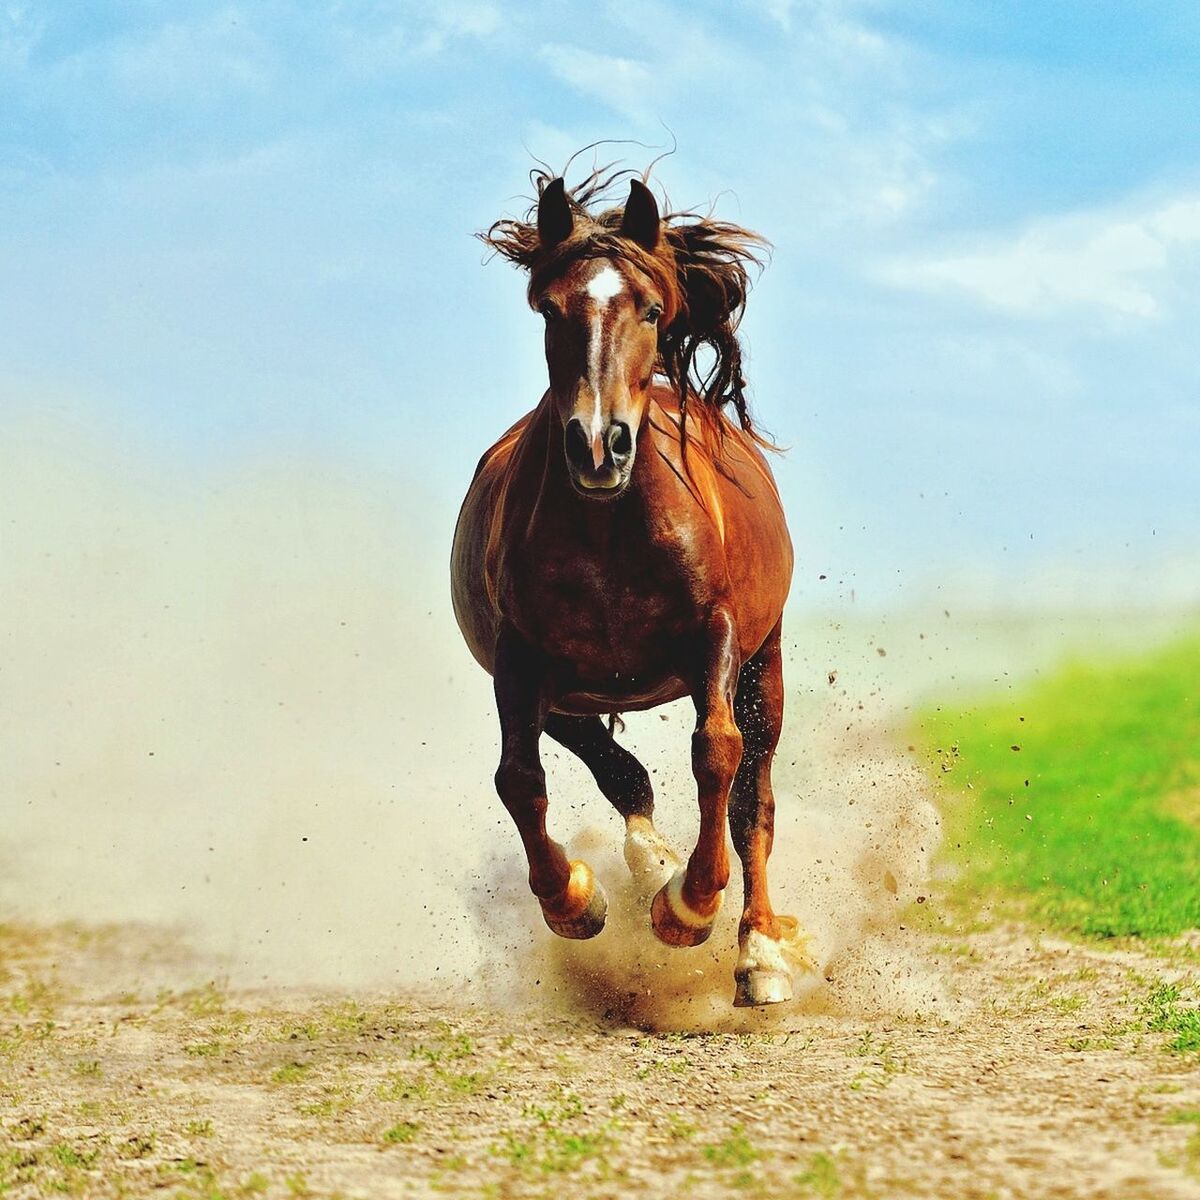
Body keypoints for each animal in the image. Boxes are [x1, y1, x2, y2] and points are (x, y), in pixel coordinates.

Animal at [451, 169, 816, 1008]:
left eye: (650, 309)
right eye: (549, 309)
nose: (598, 445)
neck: (608, 533)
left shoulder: (716, 638)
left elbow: (718, 754)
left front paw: (689, 908)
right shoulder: (519, 660)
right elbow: (519, 779)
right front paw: (574, 900)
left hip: (765, 663)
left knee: (753, 801)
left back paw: (757, 950)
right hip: (569, 697)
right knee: (621, 774)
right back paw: (648, 861)